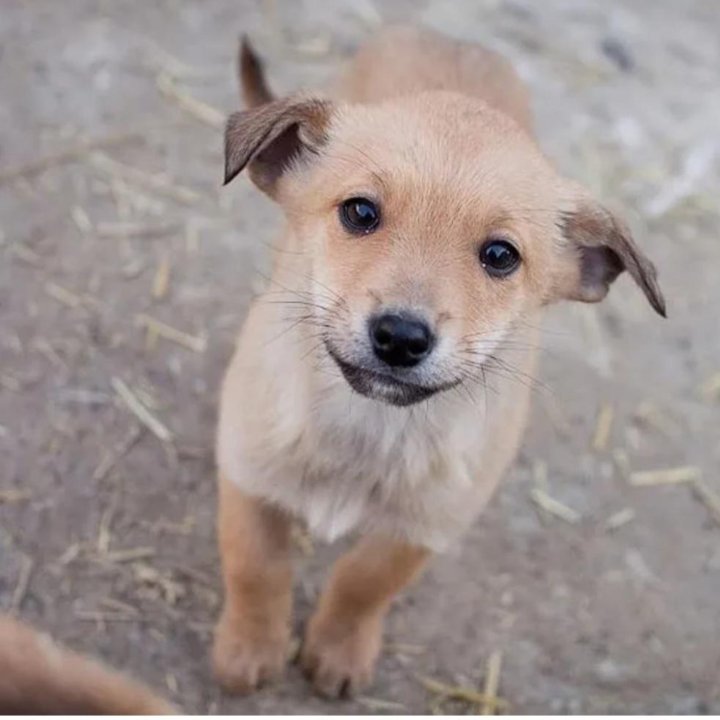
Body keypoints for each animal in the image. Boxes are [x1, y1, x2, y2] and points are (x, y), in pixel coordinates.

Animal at [214, 26, 664, 696]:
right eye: (360, 212)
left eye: (501, 255)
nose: (401, 337)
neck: (371, 424)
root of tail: (453, 36)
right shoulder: (248, 470)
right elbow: (256, 566)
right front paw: (249, 647)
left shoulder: (429, 523)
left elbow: (365, 582)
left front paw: (338, 649)